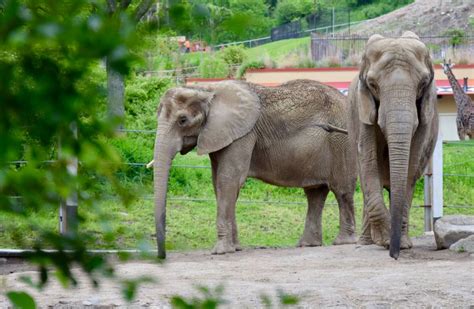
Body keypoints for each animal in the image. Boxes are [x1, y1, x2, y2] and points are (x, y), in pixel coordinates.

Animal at [151, 79, 356, 258]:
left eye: (182, 120)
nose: (162, 256)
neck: (207, 89)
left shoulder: (243, 134)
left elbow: (229, 179)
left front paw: (221, 251)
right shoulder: (220, 134)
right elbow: (219, 183)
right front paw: (235, 248)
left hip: (341, 141)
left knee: (342, 191)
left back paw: (343, 242)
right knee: (315, 193)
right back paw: (308, 244)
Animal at [346, 31, 438, 258]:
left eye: (423, 83)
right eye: (372, 84)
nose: (394, 255)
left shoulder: (425, 112)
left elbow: (412, 162)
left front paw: (400, 244)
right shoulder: (362, 108)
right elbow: (368, 159)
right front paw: (385, 240)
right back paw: (365, 244)